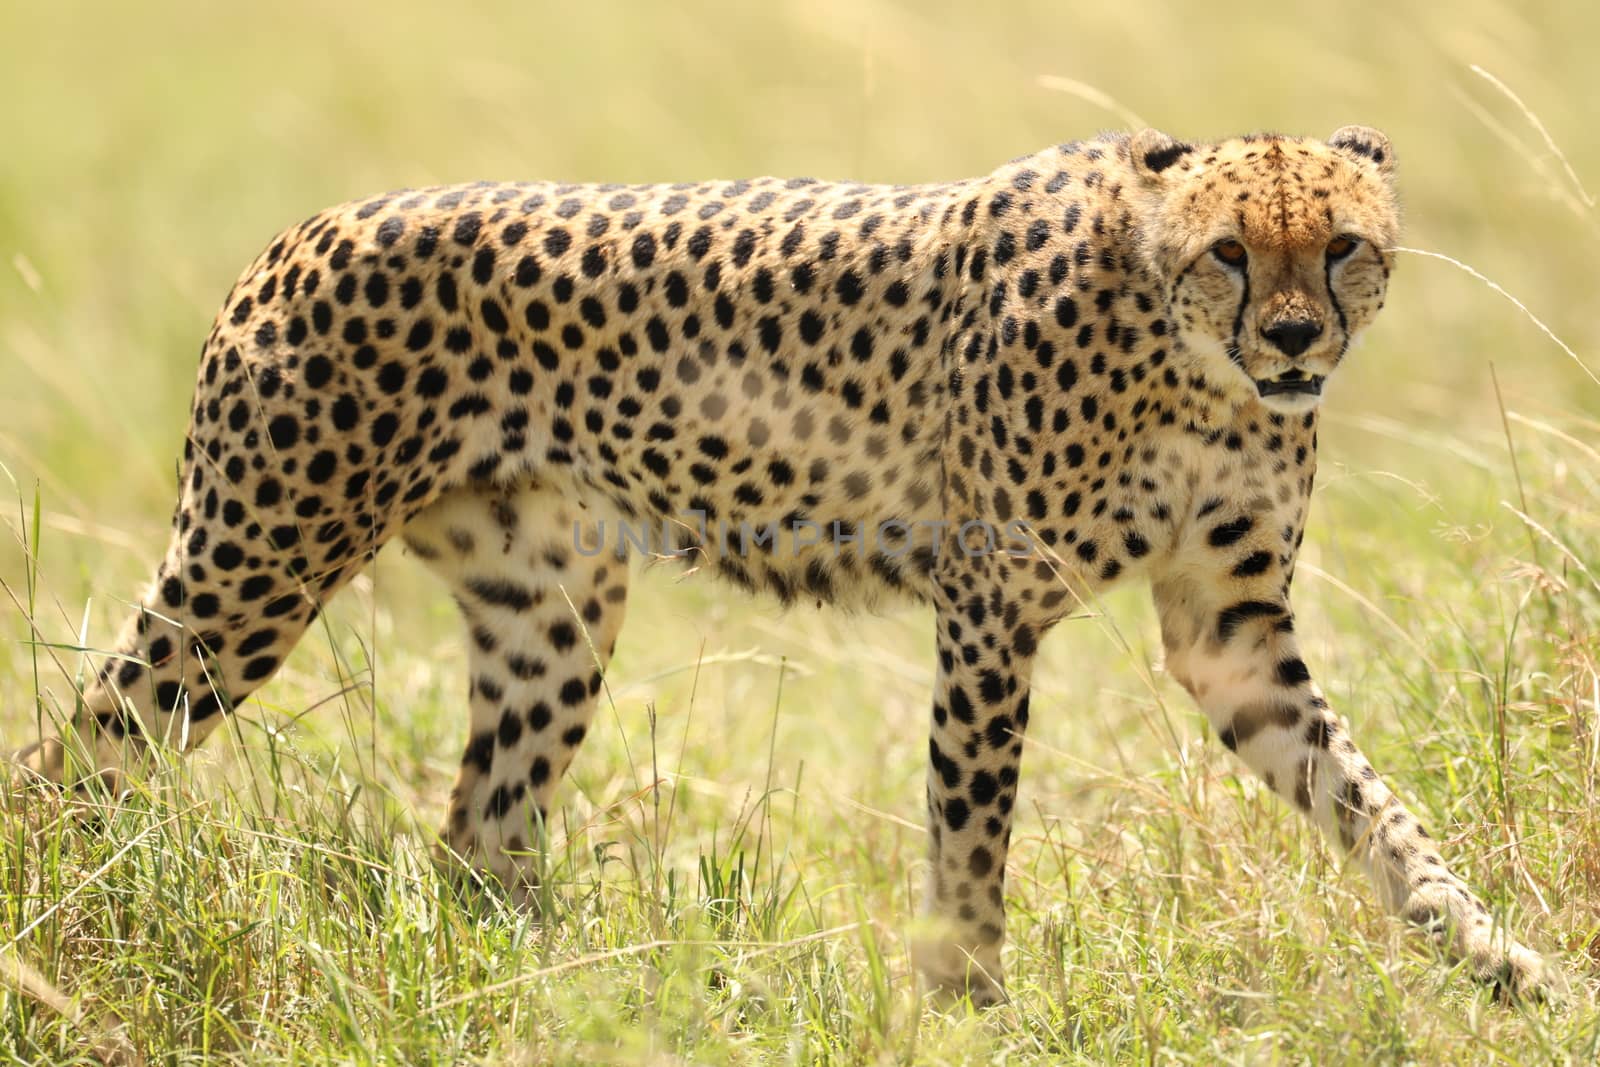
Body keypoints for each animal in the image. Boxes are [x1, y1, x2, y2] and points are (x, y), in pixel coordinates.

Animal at [6, 125, 1542, 1004]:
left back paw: (571, 993)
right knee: (79, 751)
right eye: (1229, 251)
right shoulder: (991, 604)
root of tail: (307, 227)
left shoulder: (1228, 629)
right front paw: (970, 1006)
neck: (1186, 359)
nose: (1292, 339)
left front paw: (1493, 955)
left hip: (553, 609)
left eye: (1341, 246)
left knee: (478, 838)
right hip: (254, 565)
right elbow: (971, 830)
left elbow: (1369, 804)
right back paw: (61, 935)